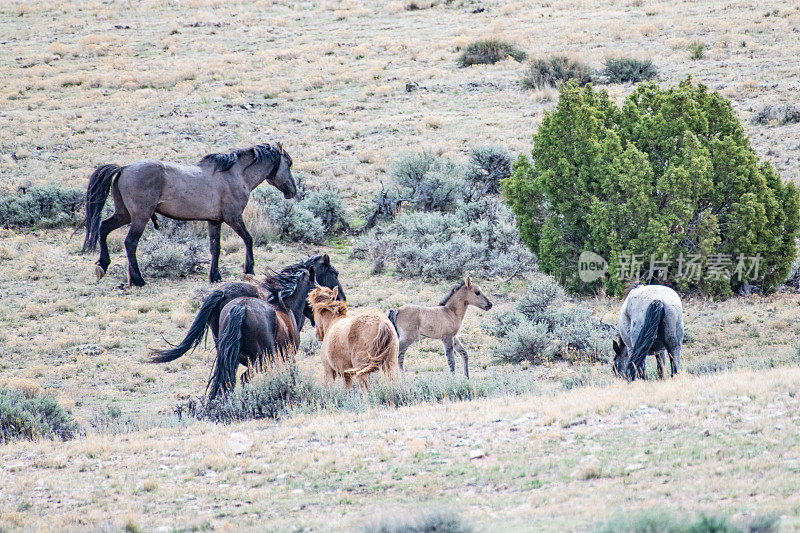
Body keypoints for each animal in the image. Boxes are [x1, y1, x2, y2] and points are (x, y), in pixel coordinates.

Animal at [80, 140, 296, 282]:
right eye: (290, 163)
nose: (293, 190)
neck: (234, 174)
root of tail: (123, 168)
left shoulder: (214, 221)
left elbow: (215, 248)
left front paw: (215, 276)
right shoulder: (233, 218)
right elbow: (249, 239)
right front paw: (249, 269)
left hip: (124, 214)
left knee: (103, 228)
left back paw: (103, 265)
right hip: (140, 217)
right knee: (130, 243)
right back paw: (138, 279)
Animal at [206, 266, 318, 400]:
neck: (285, 307)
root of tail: (242, 307)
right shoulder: (289, 357)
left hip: (228, 358)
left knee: (227, 381)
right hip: (260, 360)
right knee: (244, 378)